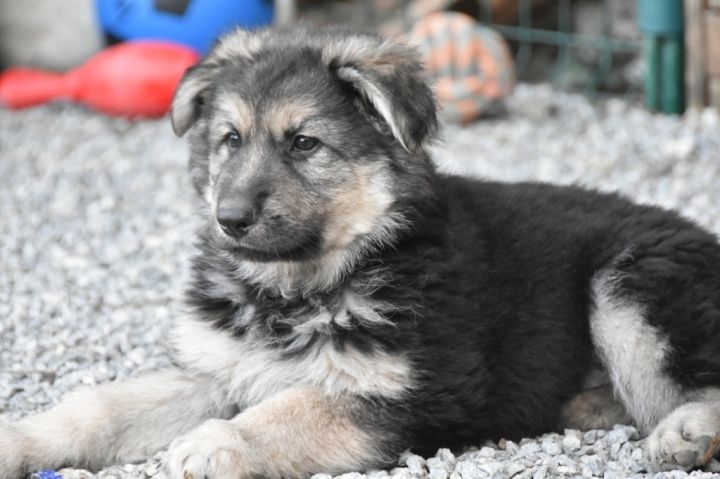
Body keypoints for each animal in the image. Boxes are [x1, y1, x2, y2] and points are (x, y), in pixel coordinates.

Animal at [2, 26, 720, 478]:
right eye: (231, 139)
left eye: (304, 144)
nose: (228, 219)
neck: (298, 287)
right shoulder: (216, 370)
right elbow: (101, 404)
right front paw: (21, 439)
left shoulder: (411, 393)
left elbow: (300, 405)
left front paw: (221, 440)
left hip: (631, 282)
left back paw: (685, 433)